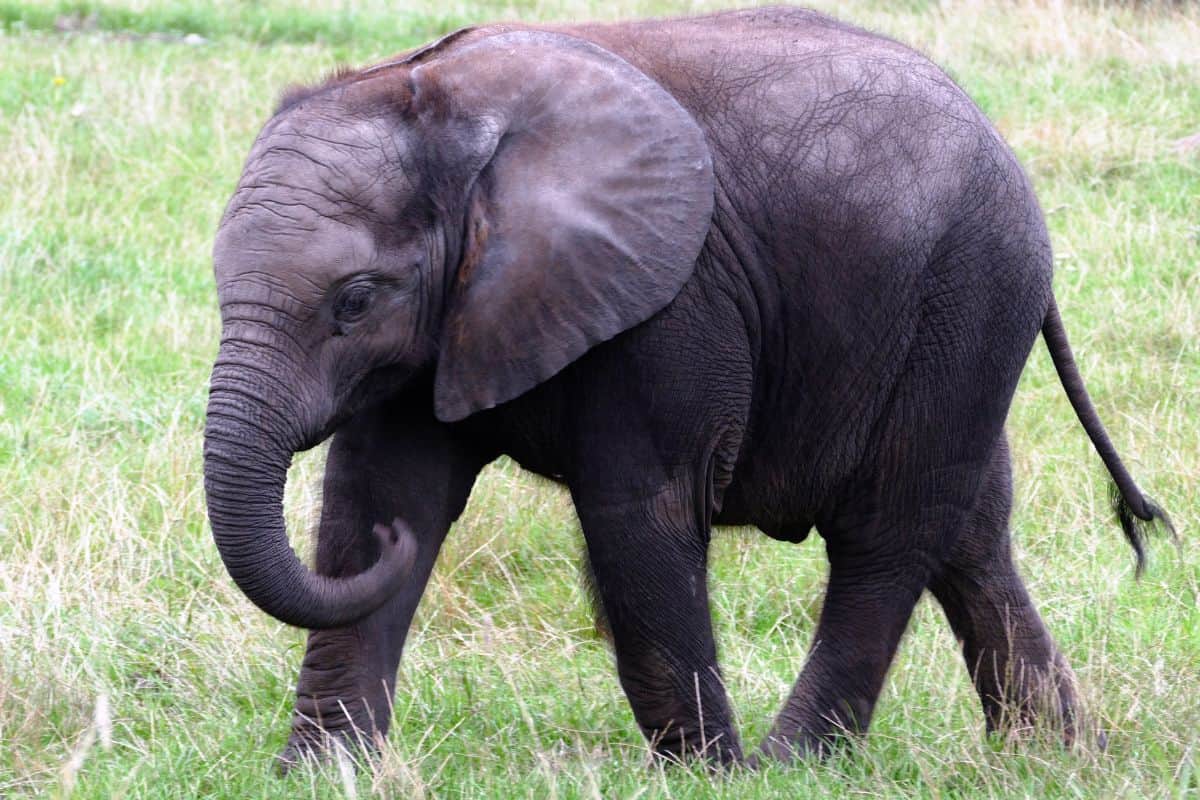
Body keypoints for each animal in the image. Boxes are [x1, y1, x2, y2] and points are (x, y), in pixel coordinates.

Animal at [206, 4, 1171, 767]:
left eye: (355, 300)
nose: (398, 548)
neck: (440, 107)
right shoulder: (447, 322)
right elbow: (380, 490)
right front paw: (320, 774)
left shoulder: (672, 303)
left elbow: (641, 515)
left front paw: (707, 775)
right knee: (971, 533)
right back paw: (1054, 756)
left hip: (967, 292)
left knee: (888, 534)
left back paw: (792, 764)